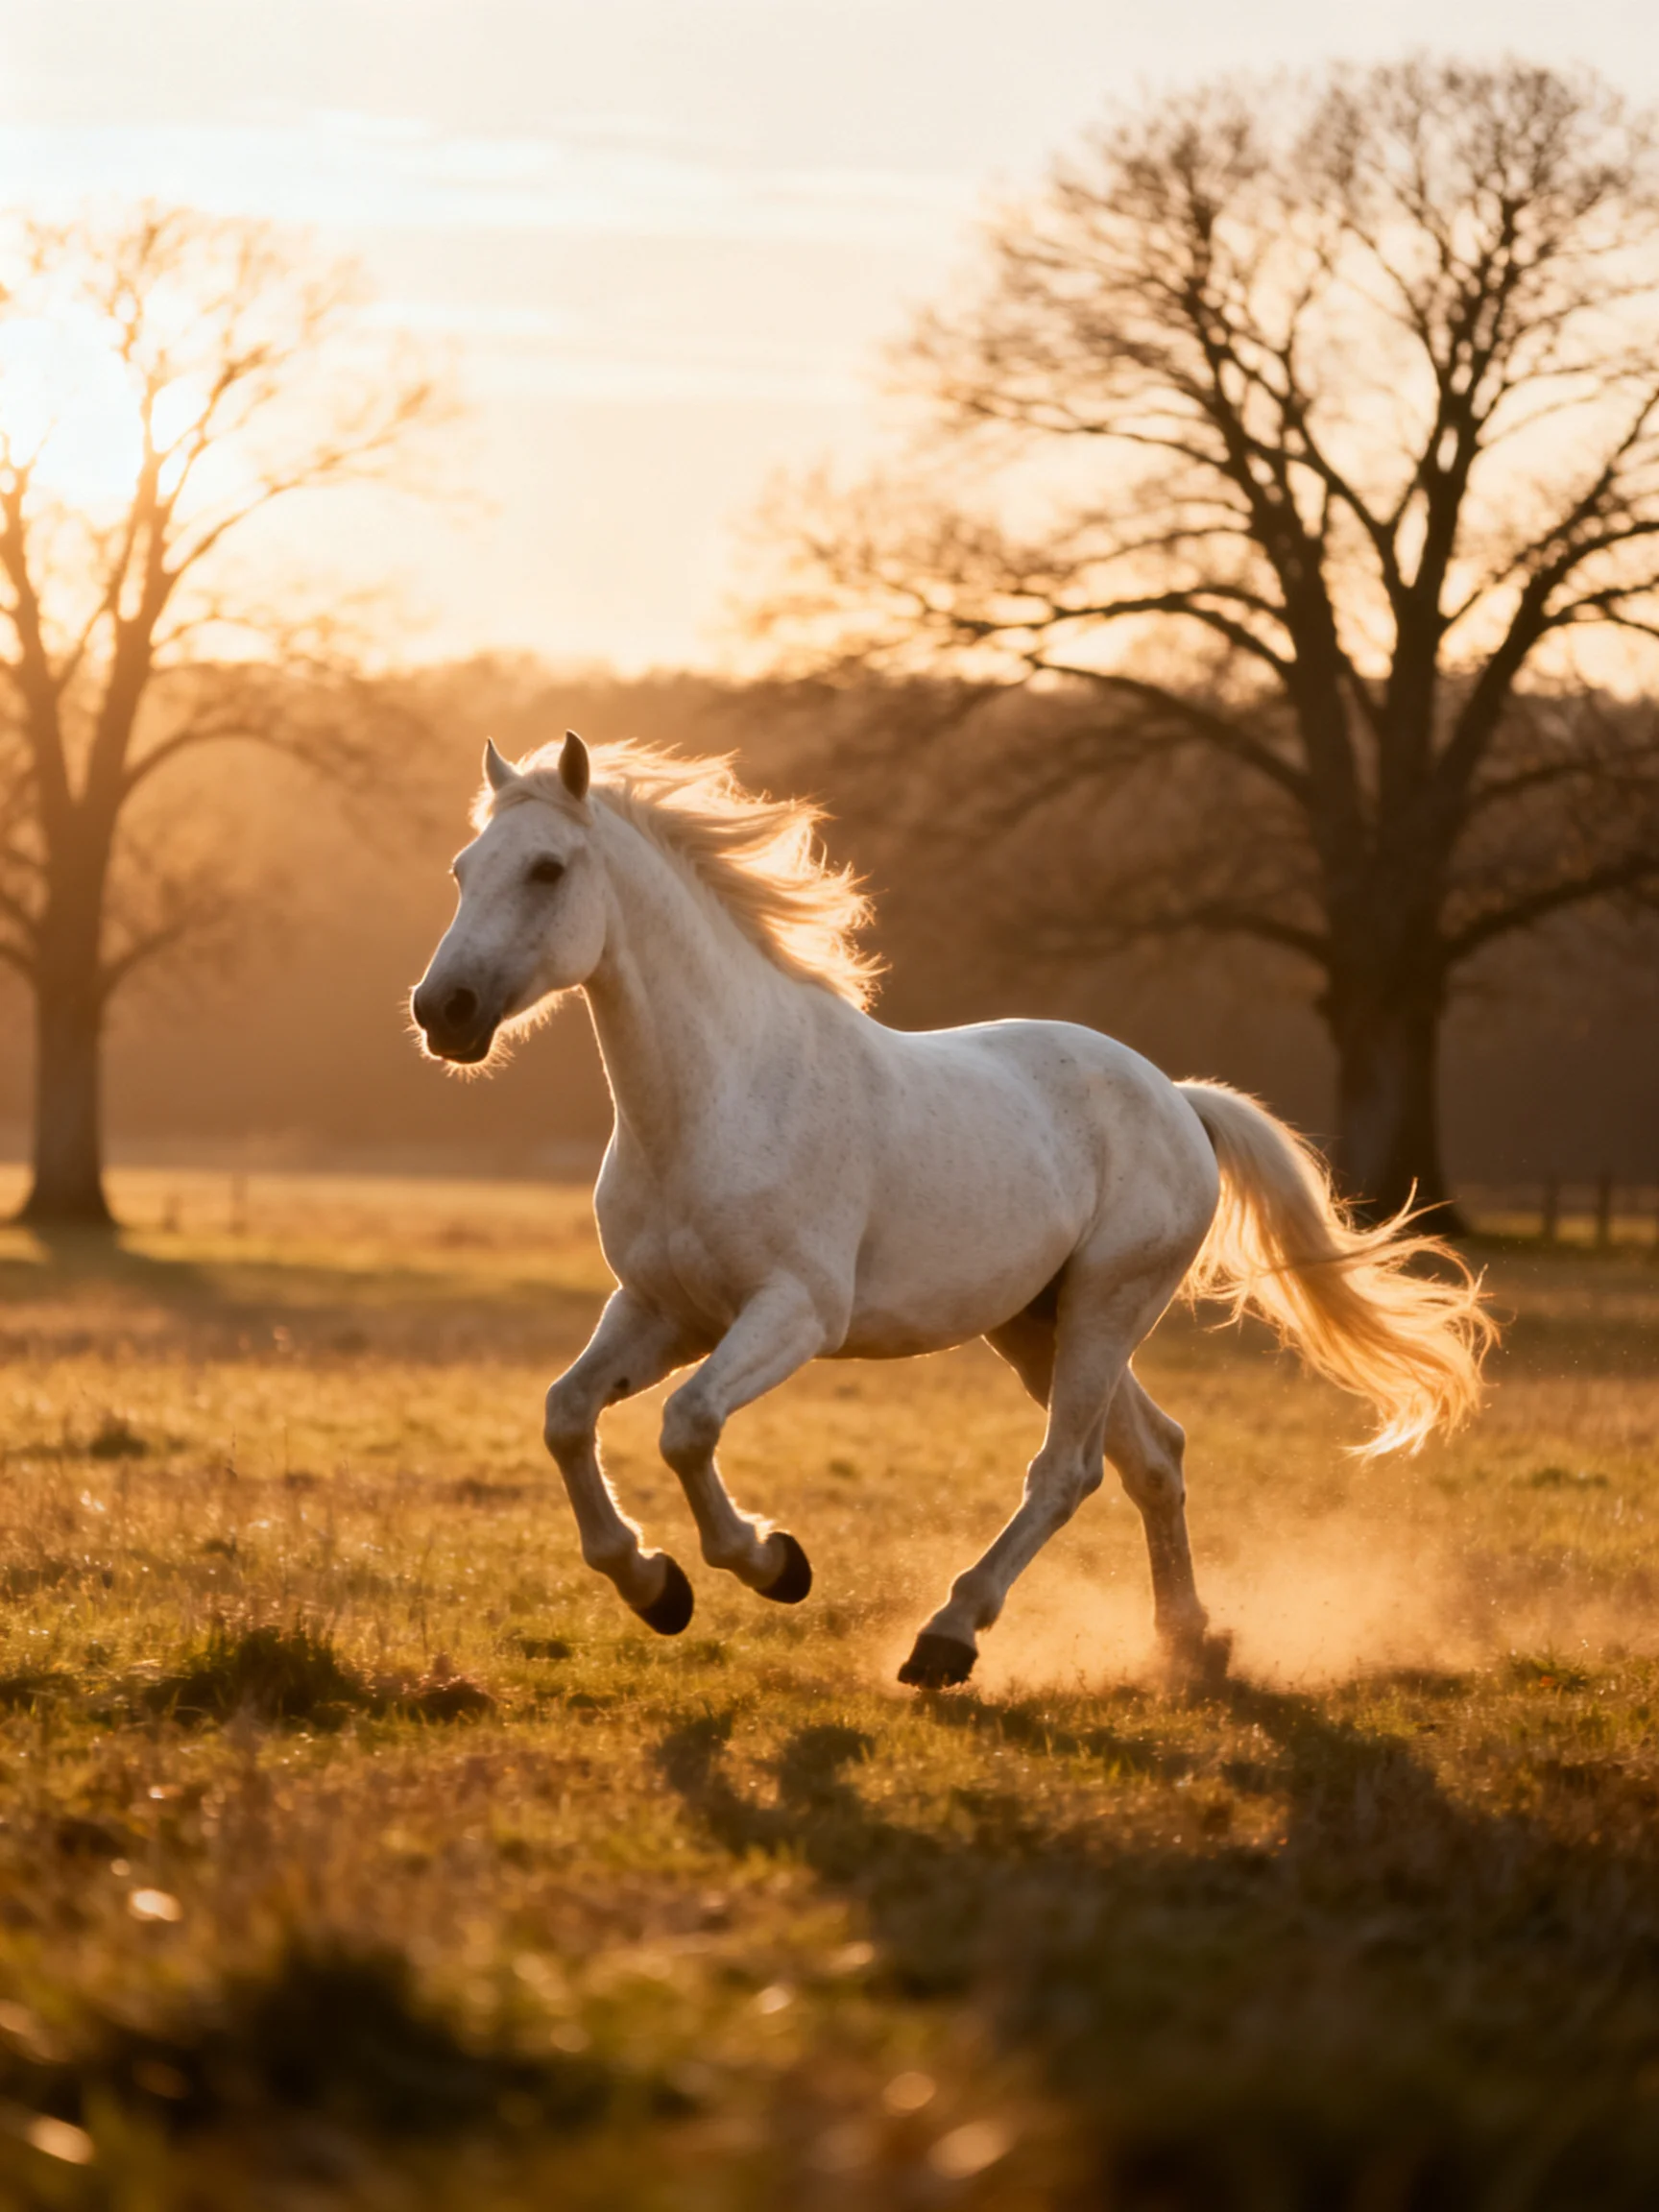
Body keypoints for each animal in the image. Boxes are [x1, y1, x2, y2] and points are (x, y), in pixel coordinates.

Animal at [411, 731, 1493, 1688]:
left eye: (547, 868)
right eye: (464, 869)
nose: (442, 1011)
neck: (718, 1097)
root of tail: (1177, 1099)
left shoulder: (793, 1313)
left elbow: (686, 1426)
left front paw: (772, 1565)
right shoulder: (661, 1310)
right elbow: (566, 1415)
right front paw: (654, 1587)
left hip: (1106, 1306)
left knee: (1068, 1470)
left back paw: (948, 1639)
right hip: (1037, 1324)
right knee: (1152, 1456)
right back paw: (1188, 1643)